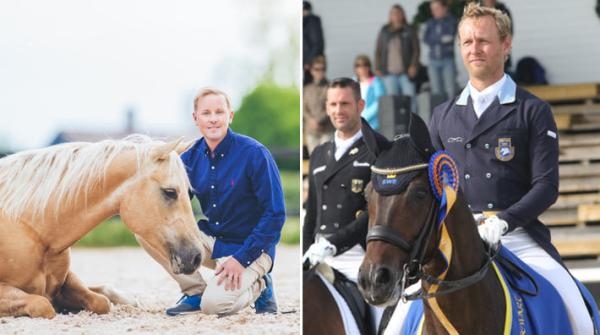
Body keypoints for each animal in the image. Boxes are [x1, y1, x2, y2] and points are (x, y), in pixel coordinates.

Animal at [0, 135, 204, 318]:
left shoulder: (66, 280)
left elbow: (100, 302)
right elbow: (42, 304)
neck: (34, 231)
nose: (197, 256)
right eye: (170, 192)